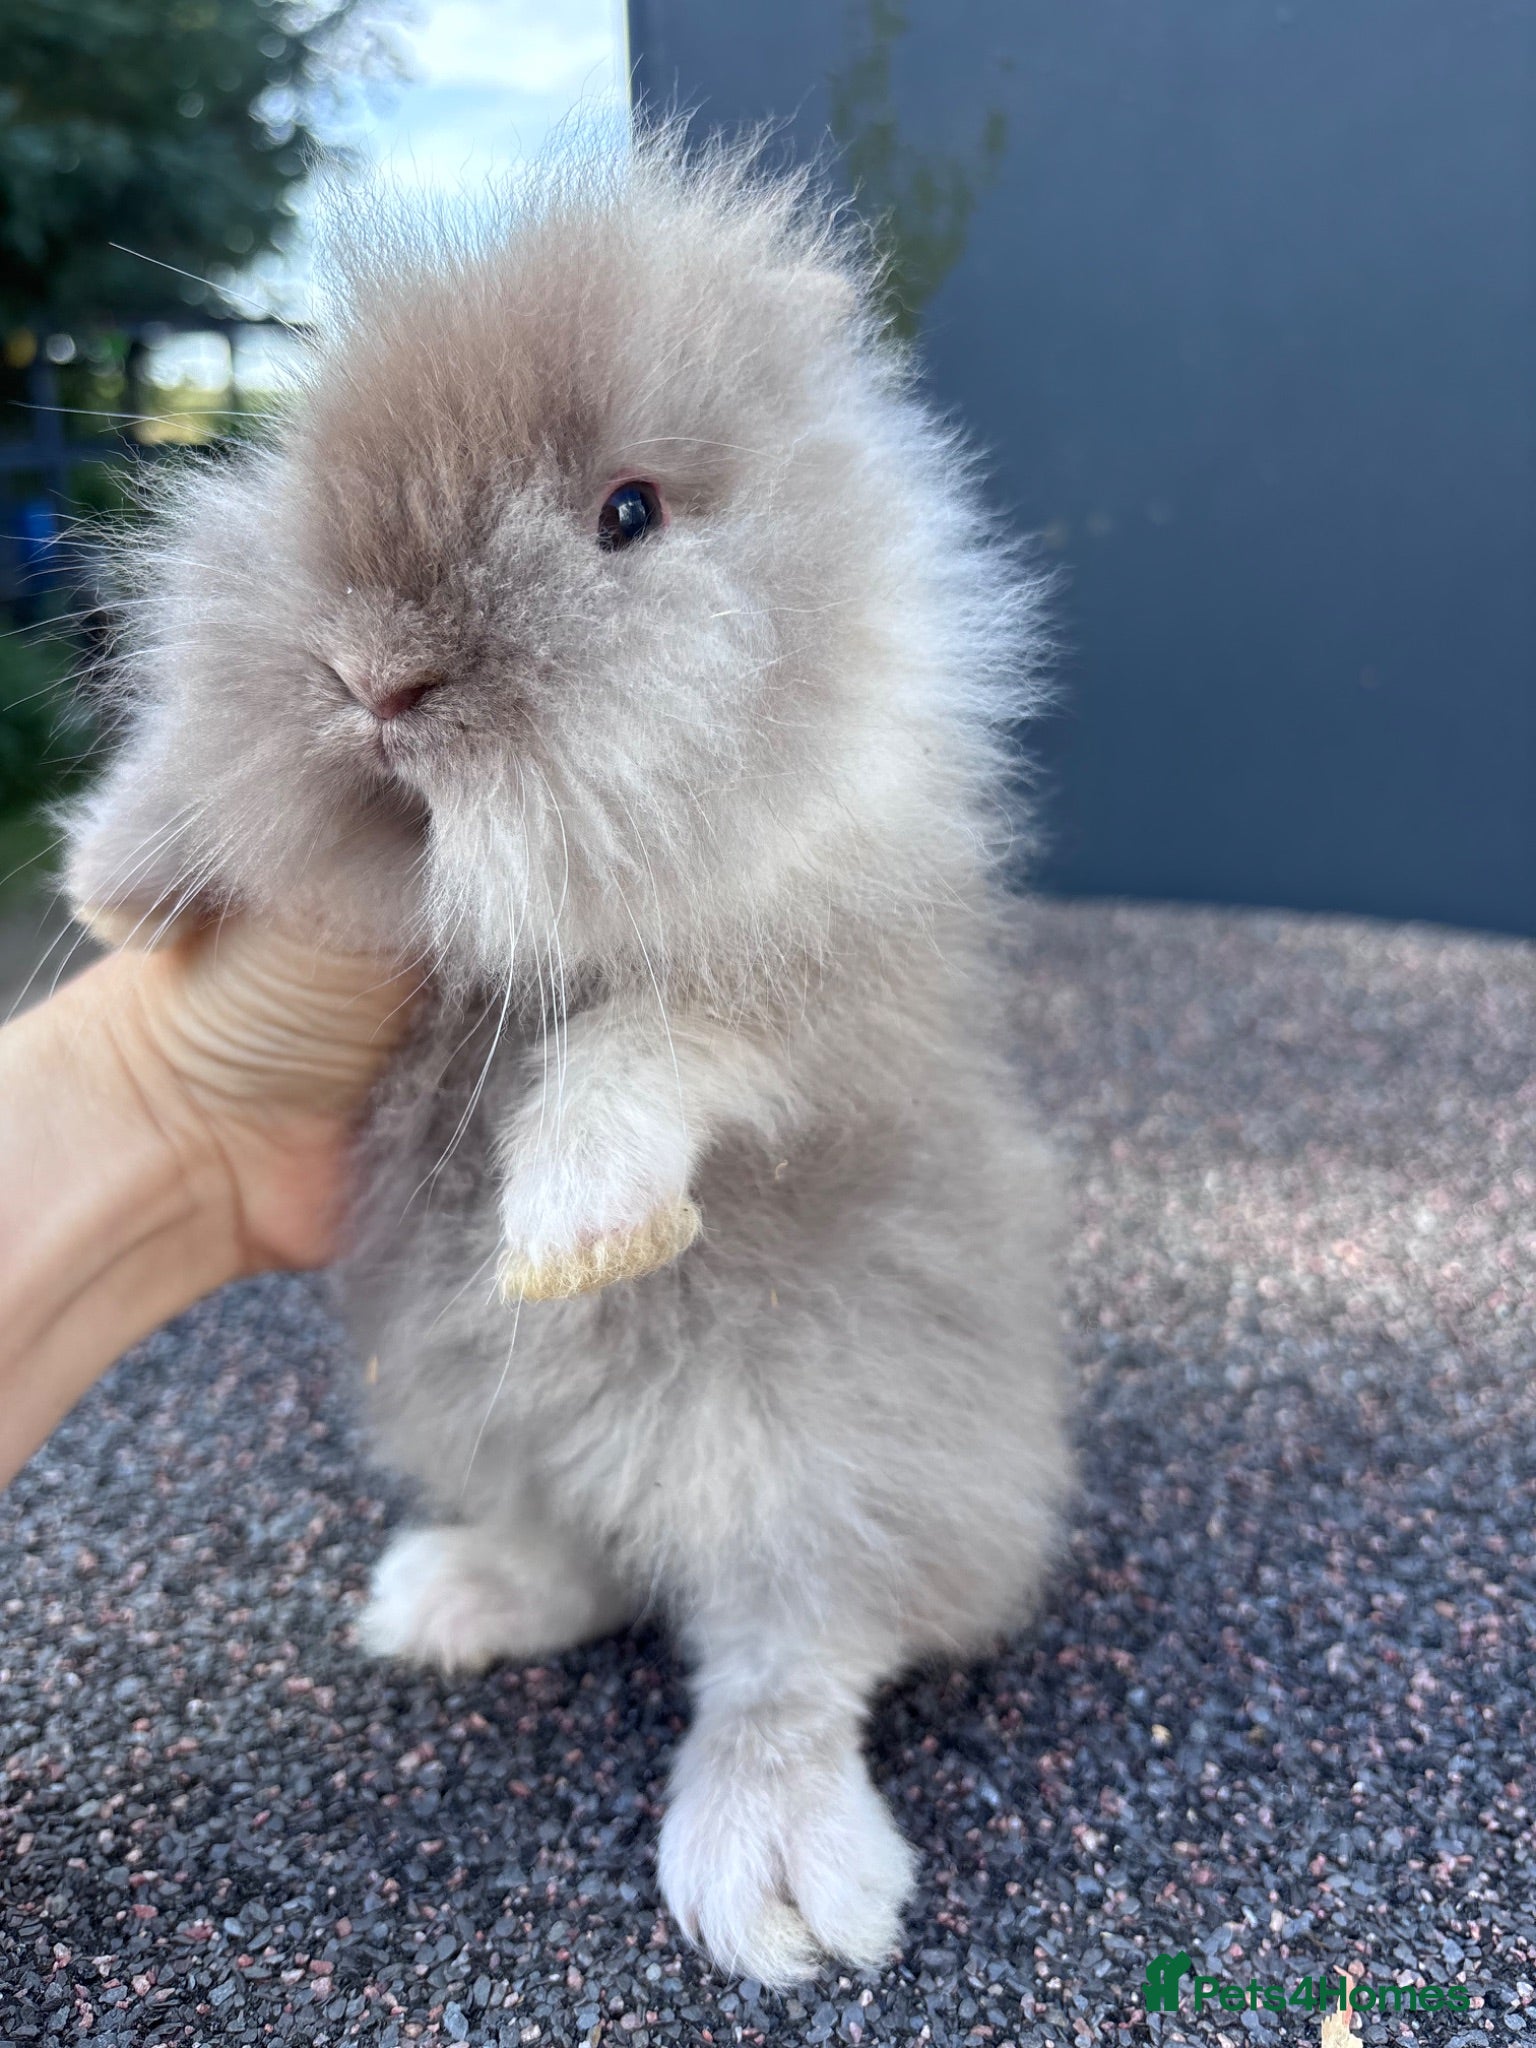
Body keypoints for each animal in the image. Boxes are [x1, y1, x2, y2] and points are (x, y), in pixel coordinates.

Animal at [62, 133, 1071, 1987]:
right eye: (307, 456)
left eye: (629, 514)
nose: (372, 675)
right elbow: (208, 772)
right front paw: (117, 875)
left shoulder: (828, 990)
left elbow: (652, 1040)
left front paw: (581, 1231)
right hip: (475, 1415)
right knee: (586, 1563)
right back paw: (441, 1603)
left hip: (830, 1450)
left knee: (788, 1652)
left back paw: (778, 1879)